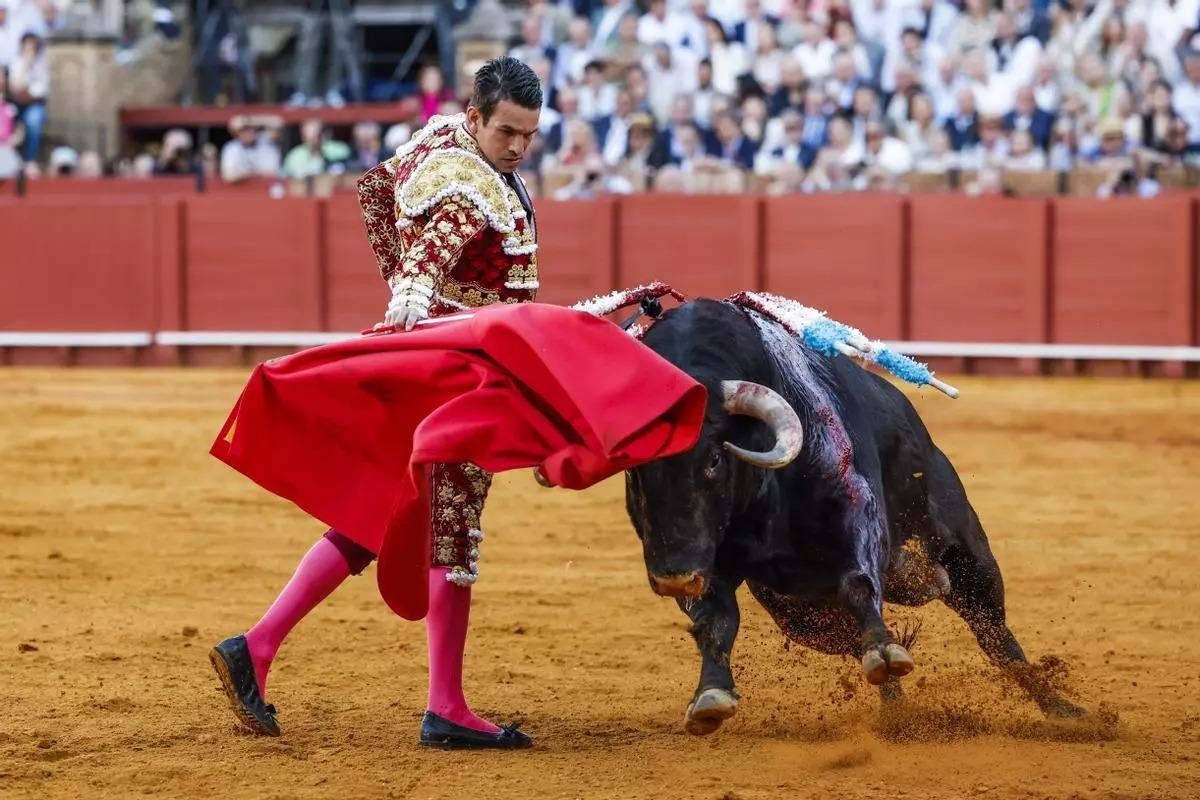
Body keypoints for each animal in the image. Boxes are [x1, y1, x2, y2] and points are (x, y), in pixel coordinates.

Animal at [624, 297, 1084, 734]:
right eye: (635, 468)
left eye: (715, 459)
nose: (674, 577)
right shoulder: (701, 558)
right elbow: (716, 619)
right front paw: (710, 695)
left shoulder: (858, 516)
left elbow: (859, 584)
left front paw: (883, 647)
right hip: (801, 612)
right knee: (854, 640)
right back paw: (898, 716)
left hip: (966, 555)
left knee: (993, 632)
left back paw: (1064, 710)